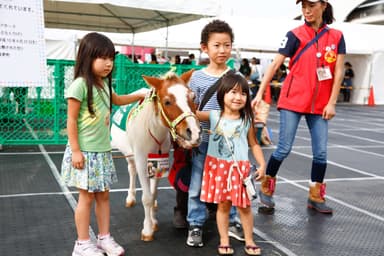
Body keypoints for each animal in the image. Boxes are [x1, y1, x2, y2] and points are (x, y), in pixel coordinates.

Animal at [110, 70, 201, 242]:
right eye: (167, 102)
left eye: (193, 97)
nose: (194, 132)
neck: (153, 132)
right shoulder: (141, 161)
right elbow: (146, 198)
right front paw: (147, 229)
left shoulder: (159, 163)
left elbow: (153, 195)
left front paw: (153, 220)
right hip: (130, 155)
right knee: (131, 170)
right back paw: (131, 197)